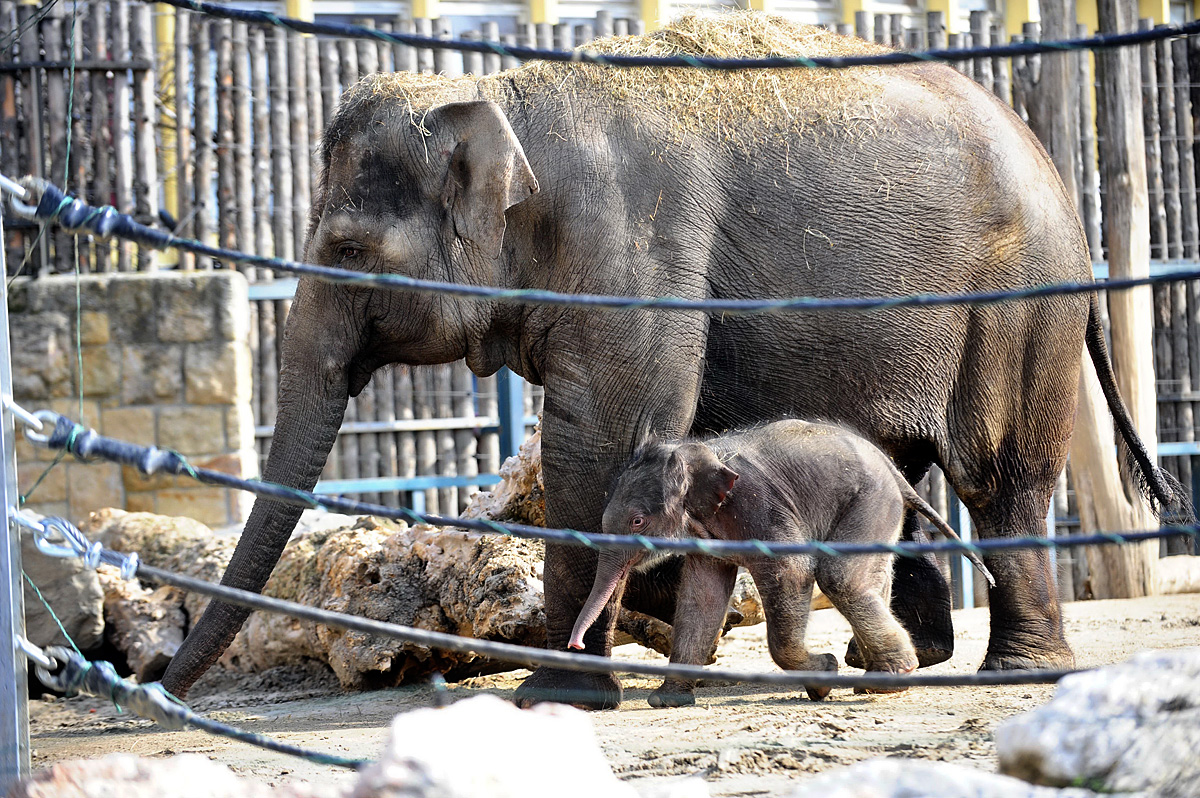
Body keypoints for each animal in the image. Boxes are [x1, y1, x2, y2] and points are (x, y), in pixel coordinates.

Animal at [571, 420, 993, 705]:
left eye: (637, 522)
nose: (575, 645)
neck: (700, 452)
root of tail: (895, 471)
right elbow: (702, 597)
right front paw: (667, 700)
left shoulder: (759, 507)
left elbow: (792, 569)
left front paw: (824, 676)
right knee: (869, 578)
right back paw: (876, 680)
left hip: (870, 501)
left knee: (839, 576)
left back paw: (890, 675)